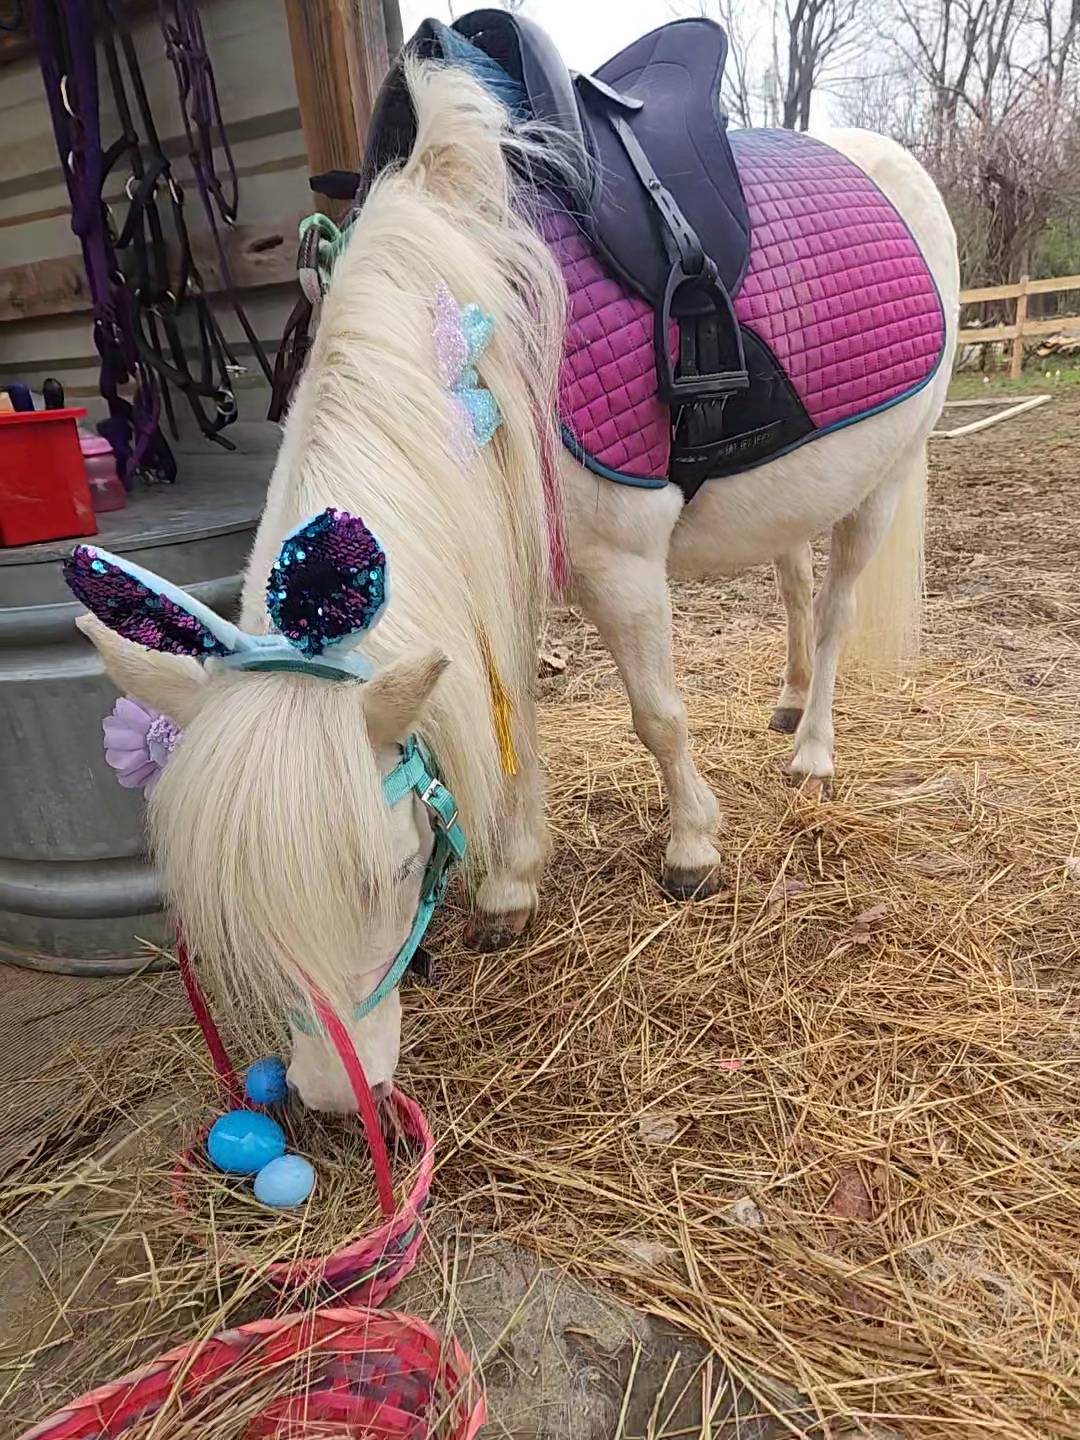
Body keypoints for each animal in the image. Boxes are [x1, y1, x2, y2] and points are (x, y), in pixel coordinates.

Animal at [74, 47, 959, 1110]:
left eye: (396, 870)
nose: (334, 1097)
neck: (473, 330)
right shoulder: (509, 578)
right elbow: (516, 732)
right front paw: (513, 882)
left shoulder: (622, 571)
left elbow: (658, 718)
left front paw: (692, 848)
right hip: (791, 494)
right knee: (792, 584)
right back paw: (786, 704)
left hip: (881, 482)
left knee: (833, 612)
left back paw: (813, 747)